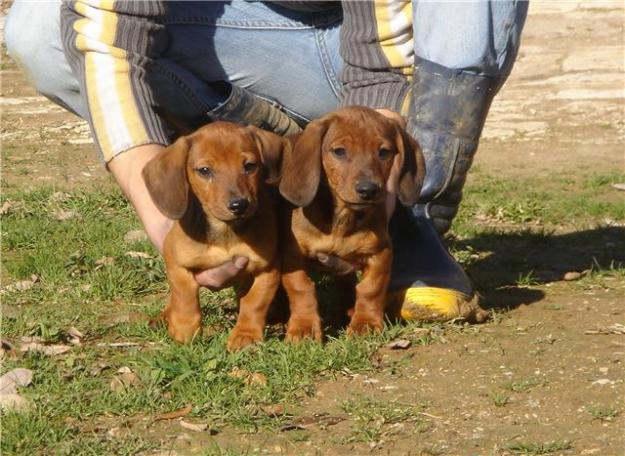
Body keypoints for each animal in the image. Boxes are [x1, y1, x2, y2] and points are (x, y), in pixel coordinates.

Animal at [141, 120, 286, 350]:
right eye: (204, 170)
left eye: (249, 166)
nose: (239, 205)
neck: (226, 232)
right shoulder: (176, 263)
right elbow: (184, 296)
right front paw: (184, 329)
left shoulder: (268, 269)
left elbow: (254, 303)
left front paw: (246, 334)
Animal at [278, 107, 424, 340]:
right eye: (339, 151)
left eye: (384, 152)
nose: (368, 190)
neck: (341, 221)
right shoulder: (292, 255)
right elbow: (301, 287)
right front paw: (303, 327)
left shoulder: (380, 253)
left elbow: (370, 289)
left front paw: (365, 323)